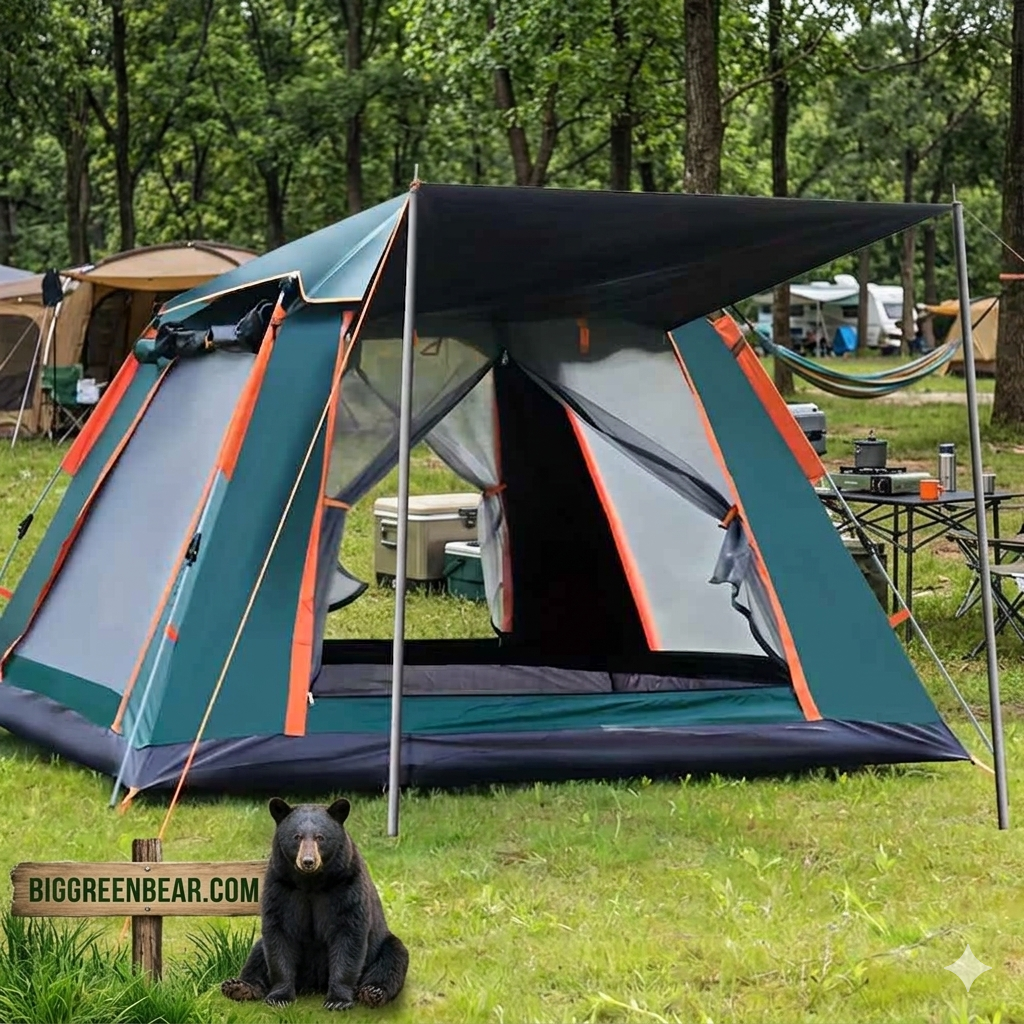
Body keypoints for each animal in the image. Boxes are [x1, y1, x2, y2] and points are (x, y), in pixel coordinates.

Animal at [220, 797, 409, 1011]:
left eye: (320, 837)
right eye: (297, 837)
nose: (308, 861)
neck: (311, 883)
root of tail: (314, 985)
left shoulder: (346, 885)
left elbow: (348, 935)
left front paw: (337, 1000)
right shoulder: (280, 887)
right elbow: (279, 936)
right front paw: (279, 996)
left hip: (384, 945)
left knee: (391, 961)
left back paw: (372, 992)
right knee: (257, 955)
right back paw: (238, 987)